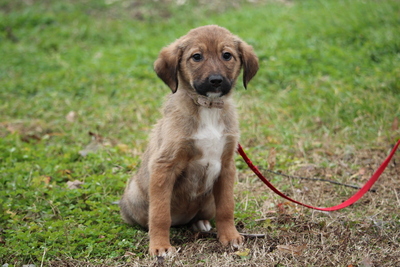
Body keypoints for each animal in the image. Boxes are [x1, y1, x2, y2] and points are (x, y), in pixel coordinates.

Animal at [119, 25, 258, 258]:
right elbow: (159, 214)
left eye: (227, 55)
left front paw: (230, 236)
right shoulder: (164, 165)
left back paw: (200, 222)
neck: (207, 107)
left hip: (209, 200)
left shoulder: (226, 166)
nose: (215, 80)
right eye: (197, 57)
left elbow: (226, 208)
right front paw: (160, 246)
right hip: (135, 195)